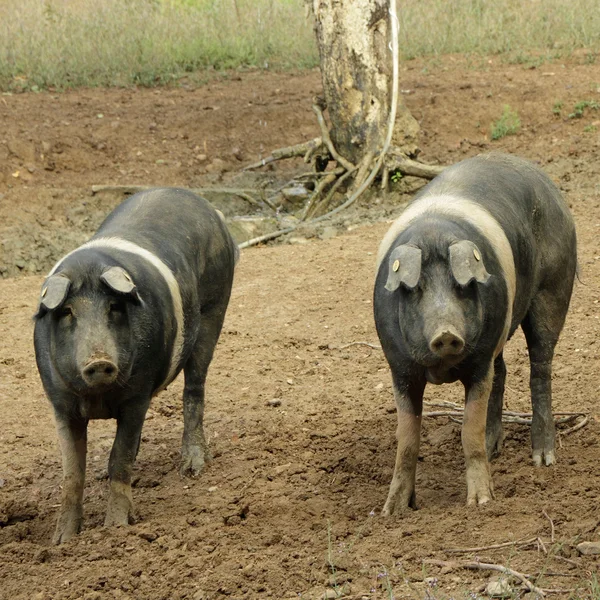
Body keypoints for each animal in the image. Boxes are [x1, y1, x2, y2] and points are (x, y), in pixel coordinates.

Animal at [34, 188, 238, 544]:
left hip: (215, 308)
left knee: (194, 388)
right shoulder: (60, 402)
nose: (100, 361)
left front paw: (116, 528)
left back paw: (193, 468)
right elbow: (72, 472)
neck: (97, 399)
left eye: (114, 307)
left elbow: (120, 457)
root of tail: (209, 208)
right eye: (68, 312)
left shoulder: (137, 396)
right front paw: (62, 541)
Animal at [376, 152, 576, 512]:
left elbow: (468, 430)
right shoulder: (399, 368)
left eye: (462, 286)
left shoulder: (479, 363)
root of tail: (547, 182)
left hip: (553, 288)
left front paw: (480, 502)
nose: (446, 333)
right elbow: (407, 439)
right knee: (504, 370)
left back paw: (543, 459)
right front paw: (393, 511)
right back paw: (495, 447)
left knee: (540, 367)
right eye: (416, 289)